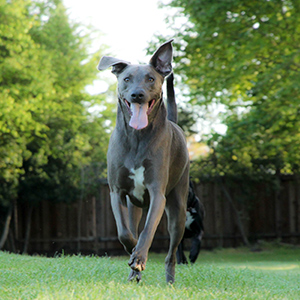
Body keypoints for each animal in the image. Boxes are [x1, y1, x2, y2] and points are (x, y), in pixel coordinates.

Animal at [97, 40, 189, 284]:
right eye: (127, 78)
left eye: (150, 79)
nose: (137, 95)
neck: (137, 137)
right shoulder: (117, 192)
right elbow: (125, 233)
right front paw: (133, 255)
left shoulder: (158, 193)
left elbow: (147, 231)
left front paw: (138, 258)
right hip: (134, 207)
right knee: (132, 227)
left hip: (179, 209)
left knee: (172, 252)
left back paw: (169, 280)